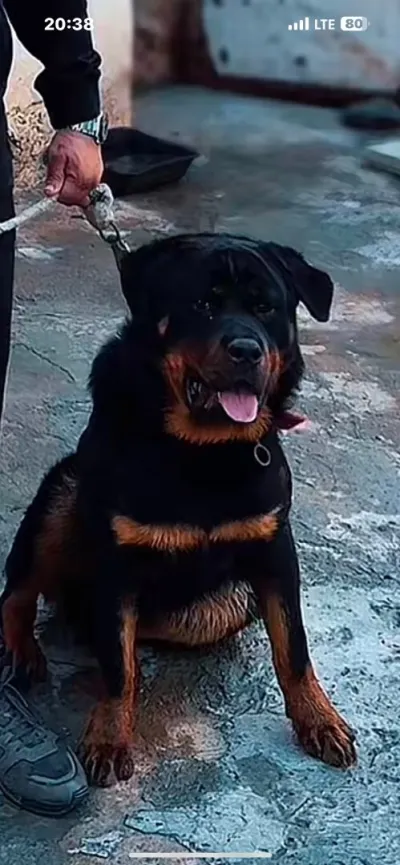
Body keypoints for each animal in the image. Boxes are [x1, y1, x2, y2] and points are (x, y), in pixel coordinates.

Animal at [1, 233, 356, 786]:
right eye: (203, 305)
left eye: (266, 308)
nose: (246, 349)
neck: (202, 451)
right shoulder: (117, 559)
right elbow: (119, 668)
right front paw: (110, 736)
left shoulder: (275, 546)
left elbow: (293, 647)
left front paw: (319, 719)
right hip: (64, 492)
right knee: (18, 590)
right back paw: (23, 647)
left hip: (226, 605)